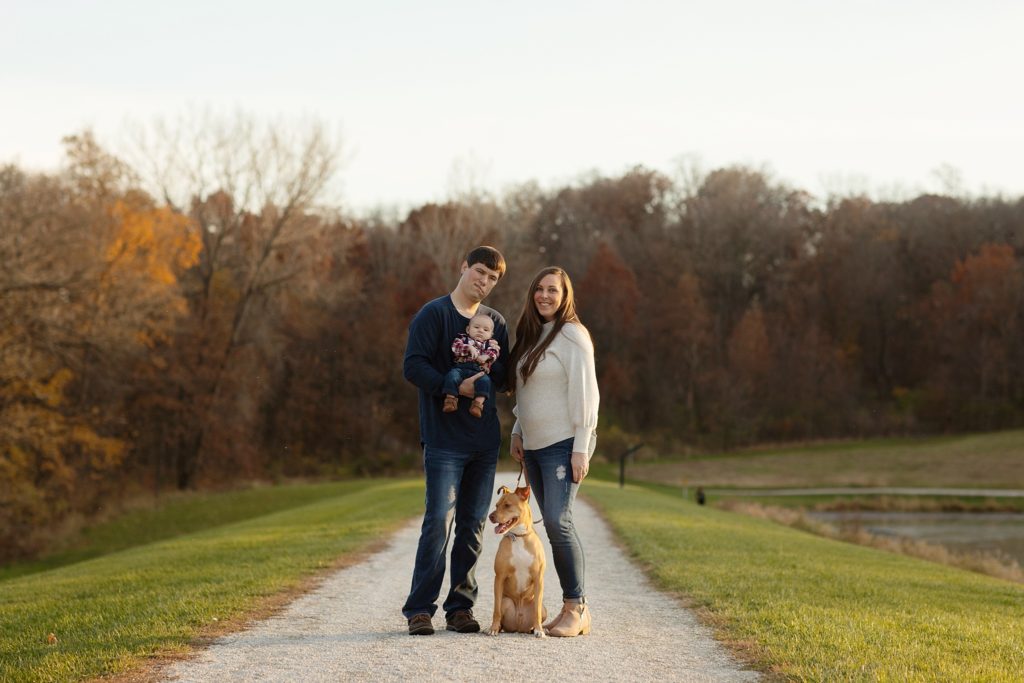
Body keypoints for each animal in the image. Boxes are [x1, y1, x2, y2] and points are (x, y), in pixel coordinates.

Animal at [485, 483, 548, 638]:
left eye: (507, 505)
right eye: (496, 505)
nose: (491, 516)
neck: (519, 537)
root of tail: (519, 628)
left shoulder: (539, 578)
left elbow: (537, 611)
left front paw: (539, 630)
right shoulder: (499, 577)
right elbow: (496, 610)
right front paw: (493, 628)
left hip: (543, 608)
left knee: (537, 612)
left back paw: (539, 629)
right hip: (505, 601)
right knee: (501, 613)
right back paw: (497, 628)